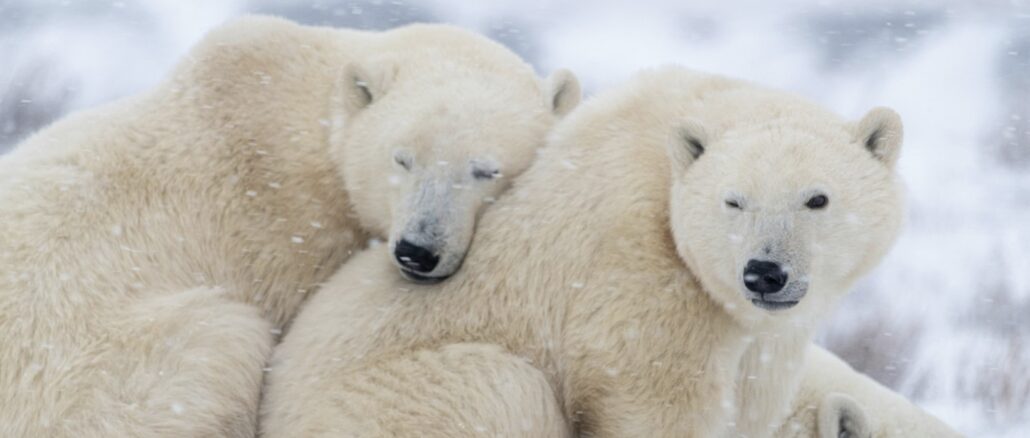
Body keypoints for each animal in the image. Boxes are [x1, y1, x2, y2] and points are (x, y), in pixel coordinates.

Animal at [259, 66, 918, 437]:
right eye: (734, 201)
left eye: (817, 199)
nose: (764, 272)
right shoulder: (639, 279)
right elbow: (656, 403)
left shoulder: (765, 339)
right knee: (501, 384)